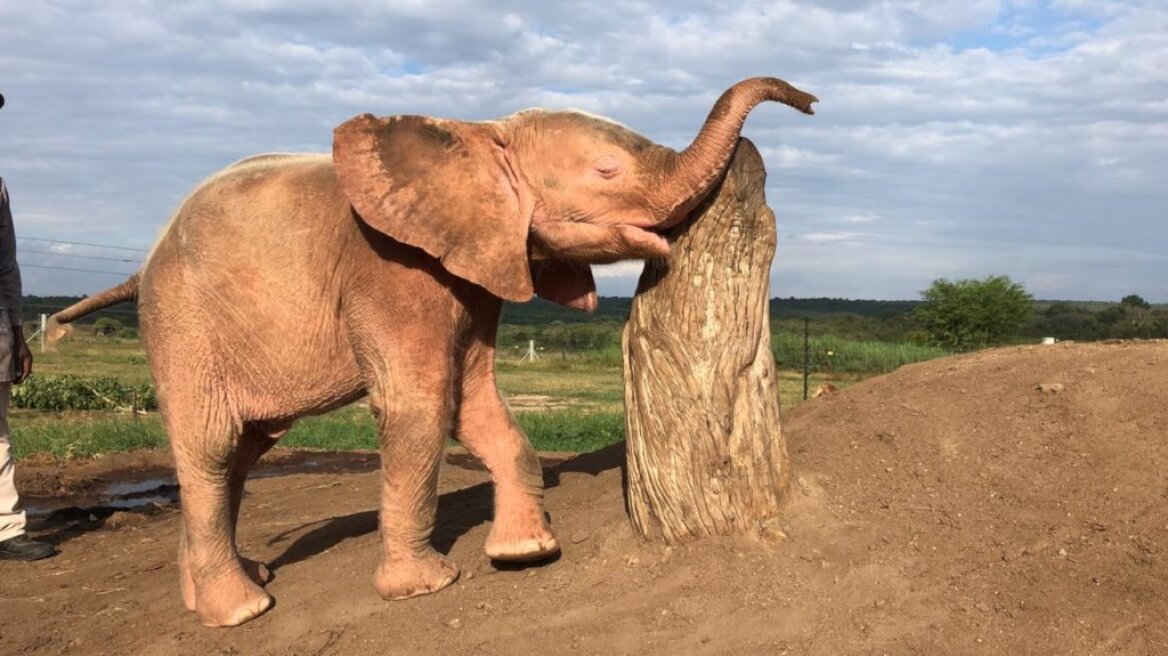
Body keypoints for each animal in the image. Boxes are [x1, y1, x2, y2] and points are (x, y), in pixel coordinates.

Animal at [50, 75, 817, 620]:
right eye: (605, 172)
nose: (809, 102)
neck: (478, 136)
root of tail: (142, 265)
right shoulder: (392, 271)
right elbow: (421, 405)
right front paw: (427, 588)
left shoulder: (475, 271)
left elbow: (474, 400)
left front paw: (526, 554)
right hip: (181, 320)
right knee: (212, 446)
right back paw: (242, 609)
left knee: (245, 449)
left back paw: (231, 586)